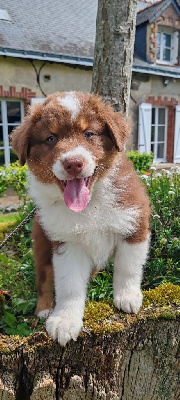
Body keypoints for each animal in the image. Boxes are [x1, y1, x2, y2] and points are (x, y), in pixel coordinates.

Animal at [11, 91, 150, 346]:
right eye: (51, 138)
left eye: (89, 134)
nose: (73, 163)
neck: (91, 202)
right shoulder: (66, 244)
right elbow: (69, 285)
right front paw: (64, 320)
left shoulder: (134, 222)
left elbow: (128, 267)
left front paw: (127, 297)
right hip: (42, 242)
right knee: (44, 278)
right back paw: (44, 309)